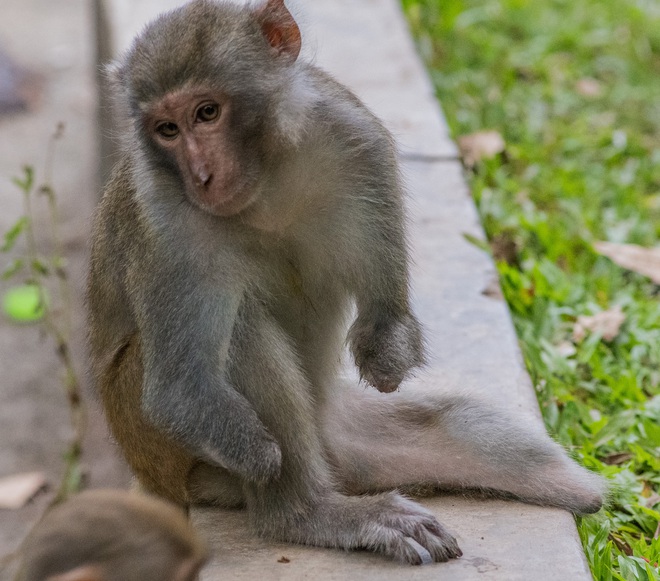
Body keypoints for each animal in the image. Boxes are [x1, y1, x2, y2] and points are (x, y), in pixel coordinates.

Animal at [86, 0, 604, 564]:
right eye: (166, 130)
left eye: (206, 113)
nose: (200, 176)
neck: (267, 176)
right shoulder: (165, 218)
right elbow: (178, 391)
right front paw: (262, 457)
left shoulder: (353, 136)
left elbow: (386, 311)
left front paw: (386, 351)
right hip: (162, 452)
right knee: (242, 333)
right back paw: (306, 513)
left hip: (347, 439)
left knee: (467, 426)